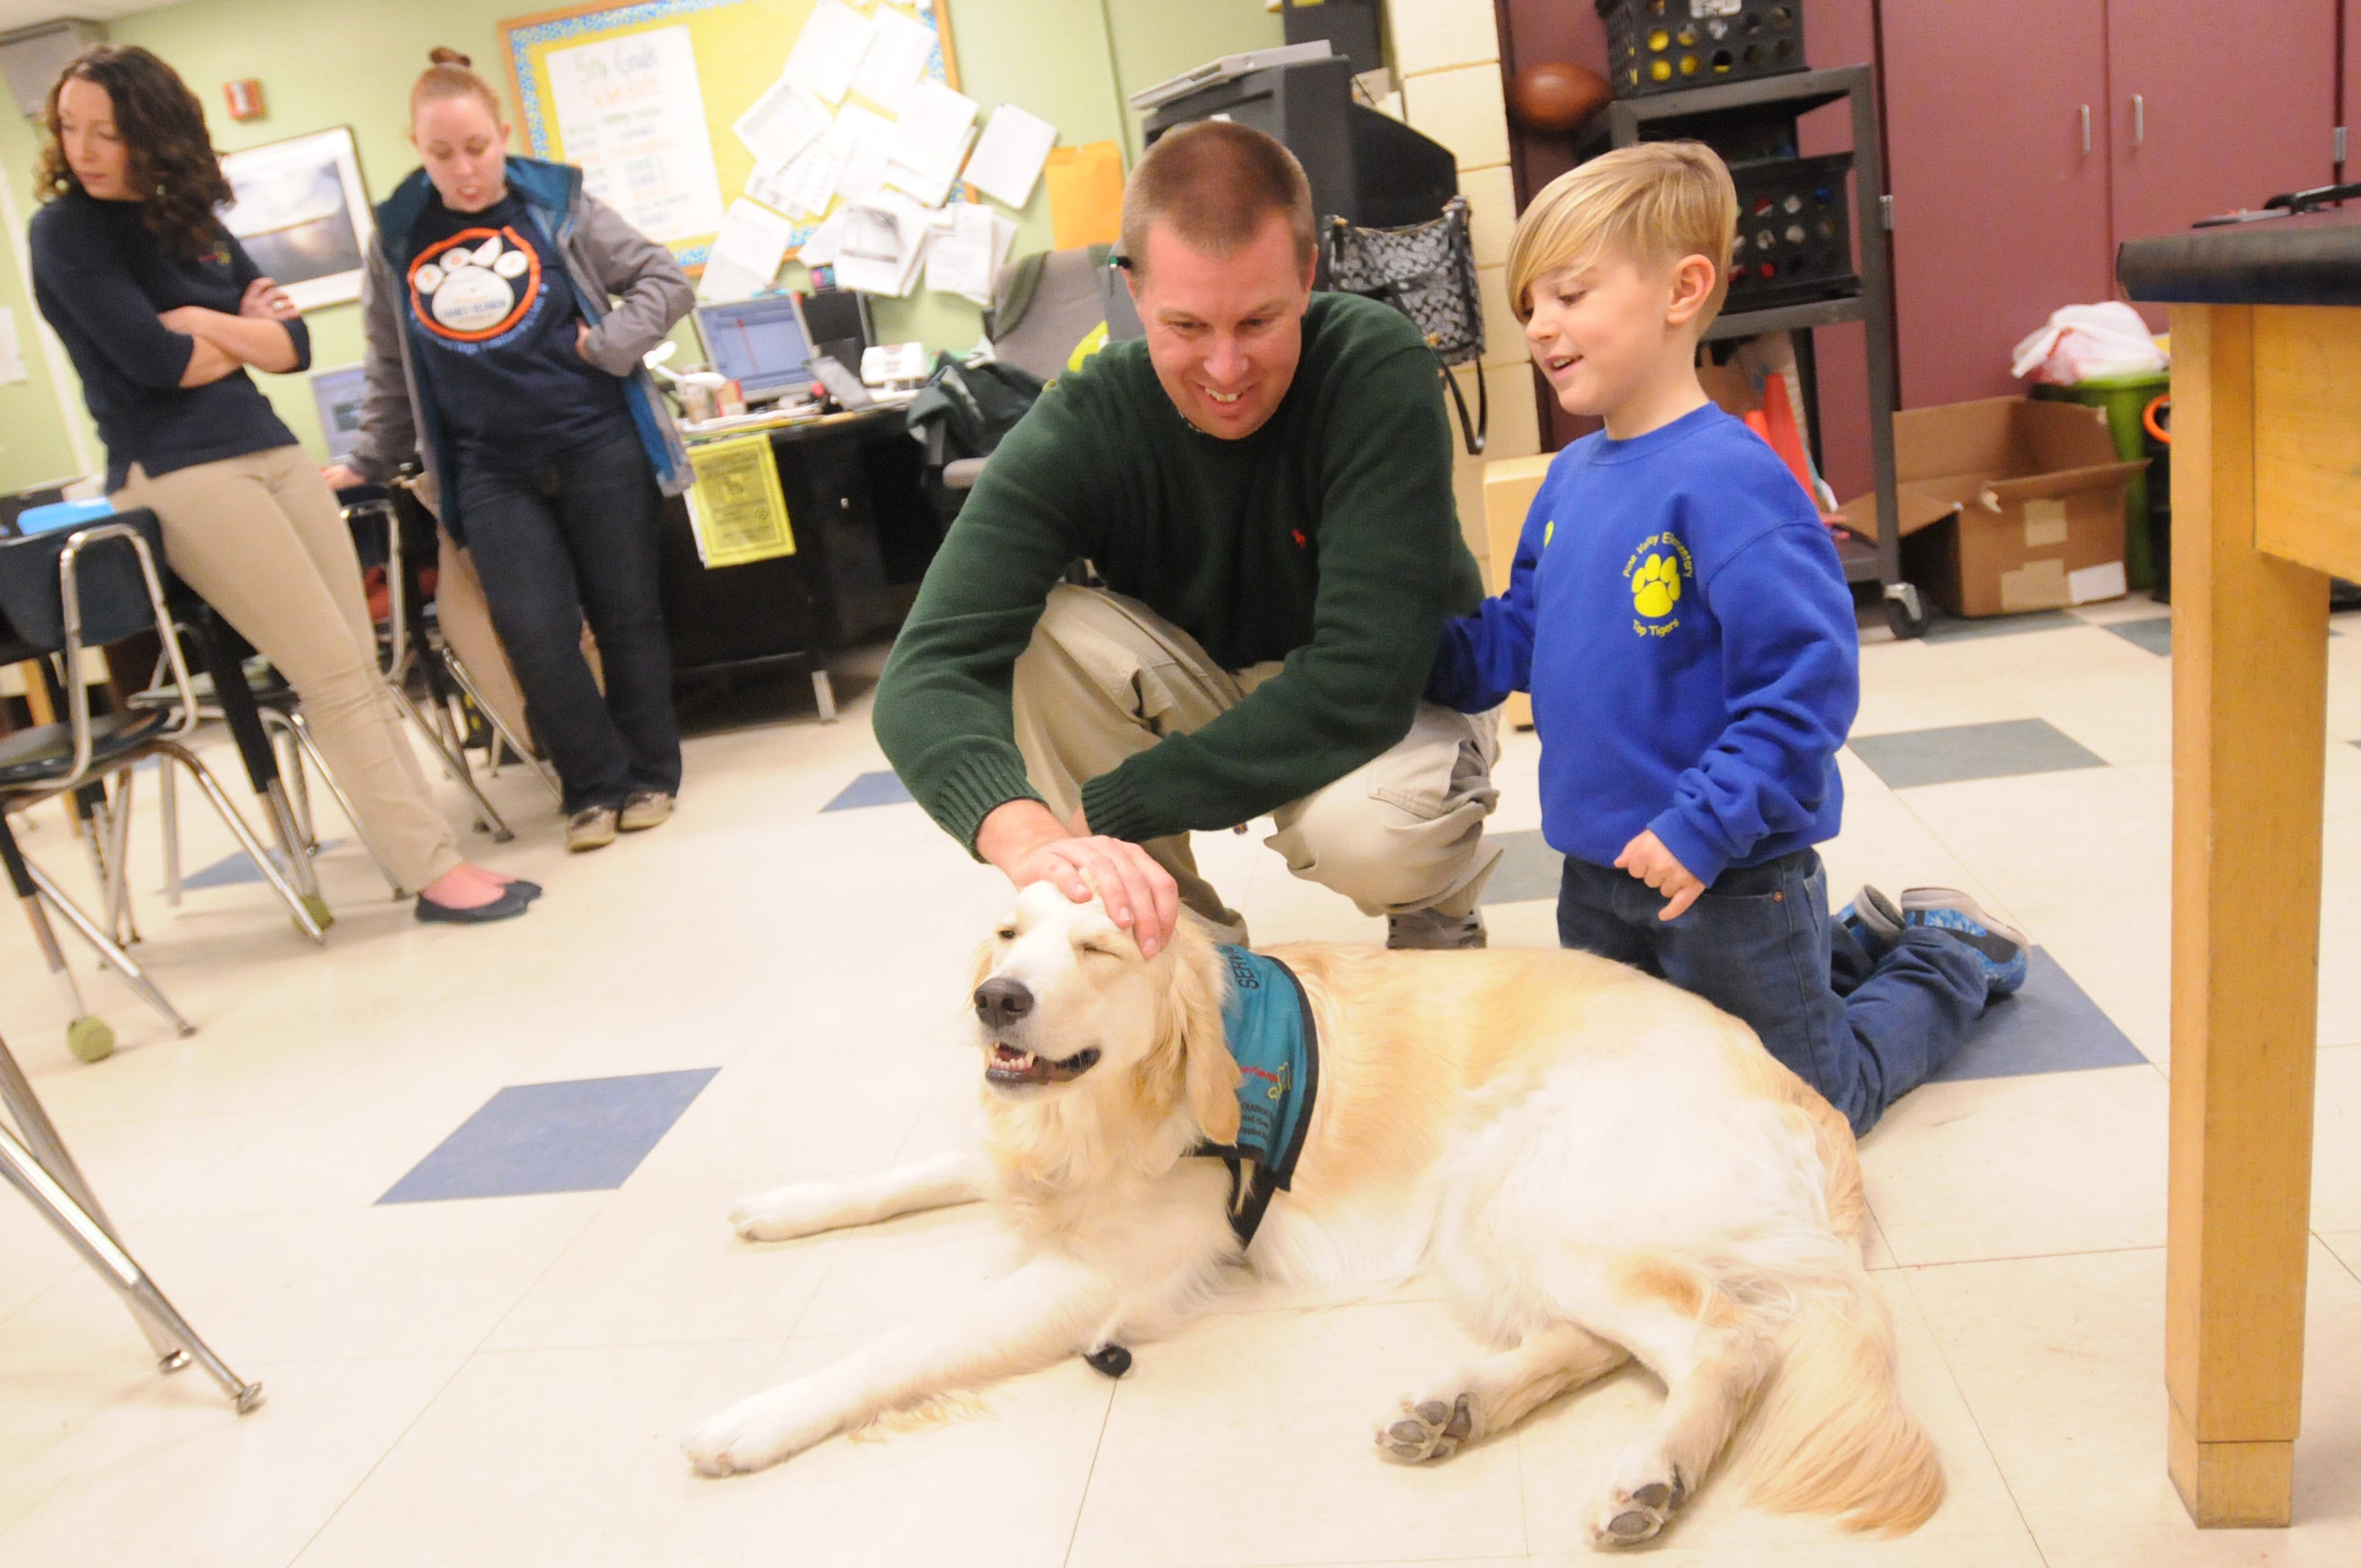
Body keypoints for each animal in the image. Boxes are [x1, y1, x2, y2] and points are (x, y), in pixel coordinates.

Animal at [680, 874, 1936, 1549]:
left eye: (1096, 945)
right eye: (1006, 934)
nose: (997, 999)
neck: (1118, 1107)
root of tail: (1804, 1091)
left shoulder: (1095, 1277)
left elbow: (901, 1346)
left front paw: (757, 1418)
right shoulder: (1026, 1152)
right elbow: (907, 1174)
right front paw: (784, 1204)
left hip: (1539, 1193)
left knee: (1728, 1338)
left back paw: (1651, 1476)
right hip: (1494, 1223)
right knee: (1602, 1340)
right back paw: (1453, 1408)